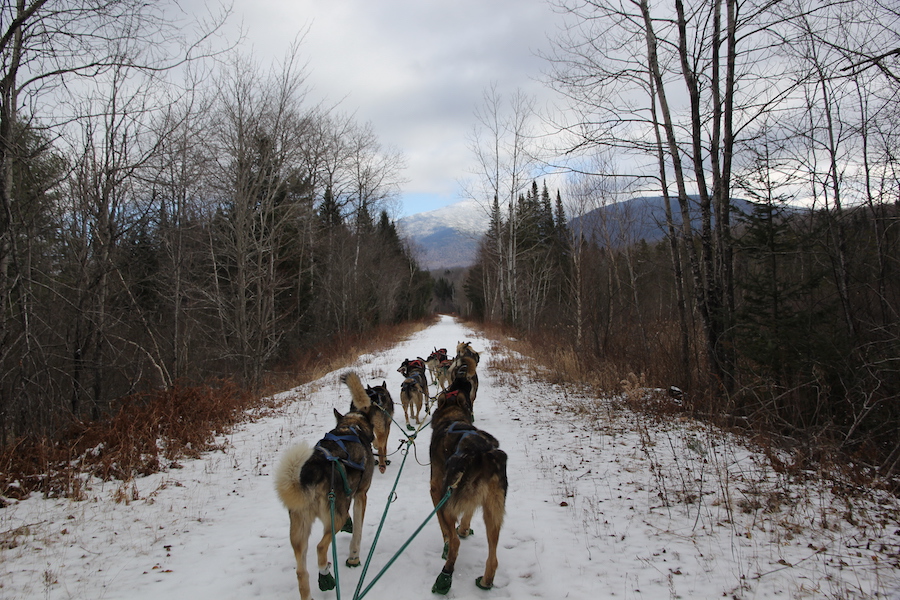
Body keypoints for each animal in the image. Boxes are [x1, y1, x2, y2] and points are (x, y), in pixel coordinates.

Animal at [272, 370, 374, 600]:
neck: (351, 426)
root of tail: (310, 473)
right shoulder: (361, 496)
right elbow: (357, 531)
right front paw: (354, 556)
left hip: (299, 531)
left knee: (301, 572)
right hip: (334, 517)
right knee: (320, 547)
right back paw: (325, 571)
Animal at [428, 370, 506, 596]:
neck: (452, 416)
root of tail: (481, 454)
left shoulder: (436, 490)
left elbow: (445, 530)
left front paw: (448, 539)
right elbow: (468, 514)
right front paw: (464, 529)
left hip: (447, 501)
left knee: (454, 544)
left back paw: (444, 577)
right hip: (493, 512)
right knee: (493, 558)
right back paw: (486, 581)